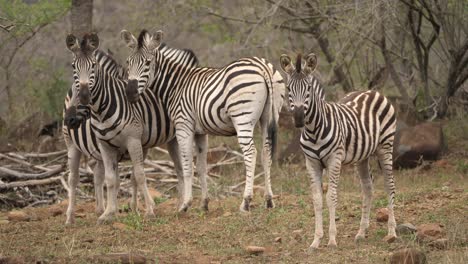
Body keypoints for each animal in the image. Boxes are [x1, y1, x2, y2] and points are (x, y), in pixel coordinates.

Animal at [62, 32, 199, 223]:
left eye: (93, 67)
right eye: (73, 67)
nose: (70, 119)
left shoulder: (134, 141)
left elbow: (138, 175)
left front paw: (145, 210)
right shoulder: (107, 146)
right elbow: (113, 179)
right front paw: (111, 212)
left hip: (170, 139)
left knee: (179, 169)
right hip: (72, 144)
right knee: (74, 178)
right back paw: (73, 216)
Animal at [119, 29, 286, 212]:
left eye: (148, 63)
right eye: (128, 62)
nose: (130, 93)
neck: (176, 85)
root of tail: (262, 66)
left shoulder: (183, 126)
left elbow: (187, 166)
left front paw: (185, 204)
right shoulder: (201, 132)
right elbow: (201, 166)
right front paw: (204, 203)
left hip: (242, 117)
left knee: (250, 153)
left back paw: (246, 202)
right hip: (268, 117)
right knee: (266, 152)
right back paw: (269, 200)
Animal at [280, 53, 396, 250]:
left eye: (308, 88)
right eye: (289, 88)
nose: (299, 119)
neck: (313, 129)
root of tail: (372, 91)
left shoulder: (334, 160)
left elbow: (331, 197)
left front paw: (332, 240)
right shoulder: (311, 163)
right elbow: (317, 199)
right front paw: (316, 241)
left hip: (385, 147)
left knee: (390, 186)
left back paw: (392, 232)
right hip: (363, 156)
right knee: (368, 188)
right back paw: (361, 232)